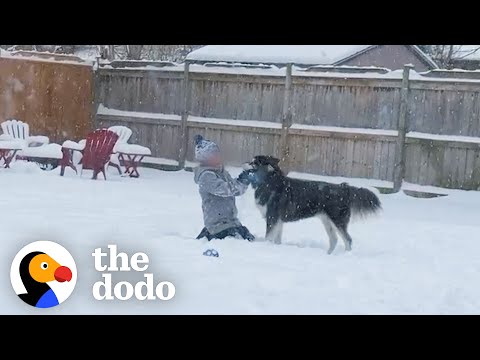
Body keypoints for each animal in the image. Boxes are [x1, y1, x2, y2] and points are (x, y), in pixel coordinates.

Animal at [244, 155, 382, 253]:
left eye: (254, 163)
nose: (244, 163)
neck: (270, 181)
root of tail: (344, 188)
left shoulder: (272, 217)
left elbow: (268, 237)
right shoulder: (278, 220)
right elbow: (276, 239)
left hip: (337, 220)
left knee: (348, 240)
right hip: (327, 221)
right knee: (334, 239)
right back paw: (328, 255)